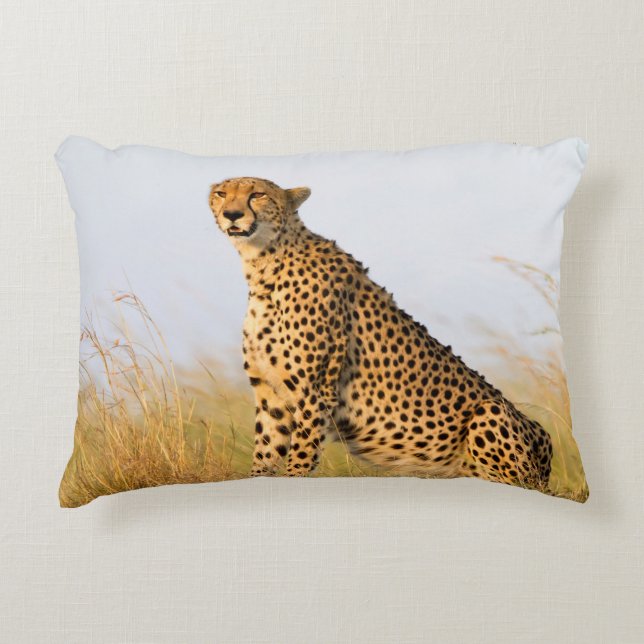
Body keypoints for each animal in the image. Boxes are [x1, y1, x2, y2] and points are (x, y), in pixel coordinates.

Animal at [208, 176, 553, 493]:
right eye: (222, 193)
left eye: (257, 194)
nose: (232, 214)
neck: (263, 263)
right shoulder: (270, 393)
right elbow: (265, 452)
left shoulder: (315, 392)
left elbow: (300, 457)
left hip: (491, 414)